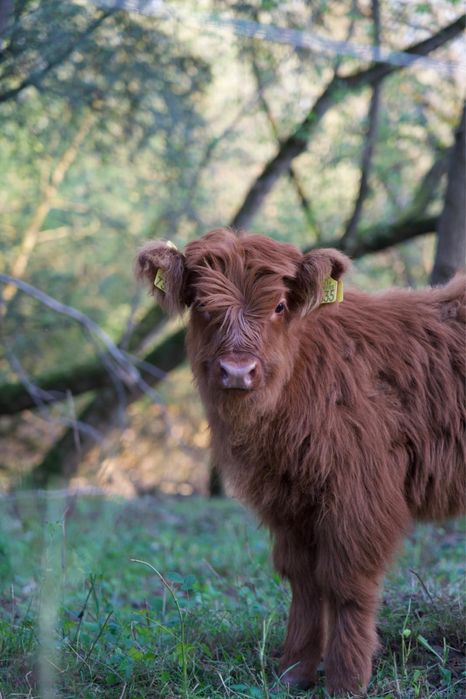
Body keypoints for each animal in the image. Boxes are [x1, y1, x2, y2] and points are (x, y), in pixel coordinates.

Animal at [136, 227, 466, 695]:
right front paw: (294, 671)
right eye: (200, 304)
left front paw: (347, 679)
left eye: (278, 305)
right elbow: (303, 579)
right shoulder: (287, 498)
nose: (237, 371)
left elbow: (346, 582)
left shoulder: (360, 493)